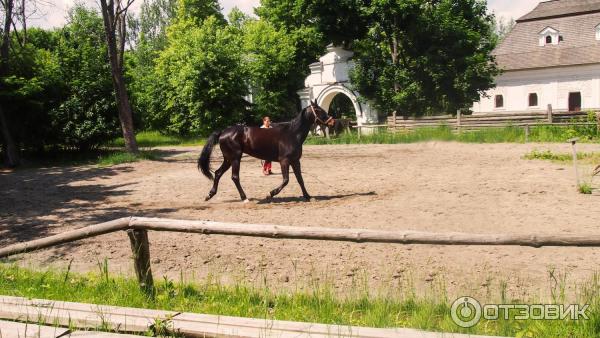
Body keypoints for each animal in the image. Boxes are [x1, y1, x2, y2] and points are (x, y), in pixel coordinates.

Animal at [199, 99, 336, 201]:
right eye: (318, 110)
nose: (332, 122)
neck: (292, 134)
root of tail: (223, 132)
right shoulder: (284, 161)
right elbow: (286, 180)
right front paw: (270, 193)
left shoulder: (295, 161)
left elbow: (300, 179)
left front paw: (308, 196)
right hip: (235, 158)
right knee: (235, 177)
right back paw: (244, 198)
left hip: (228, 159)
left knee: (218, 173)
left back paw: (209, 195)